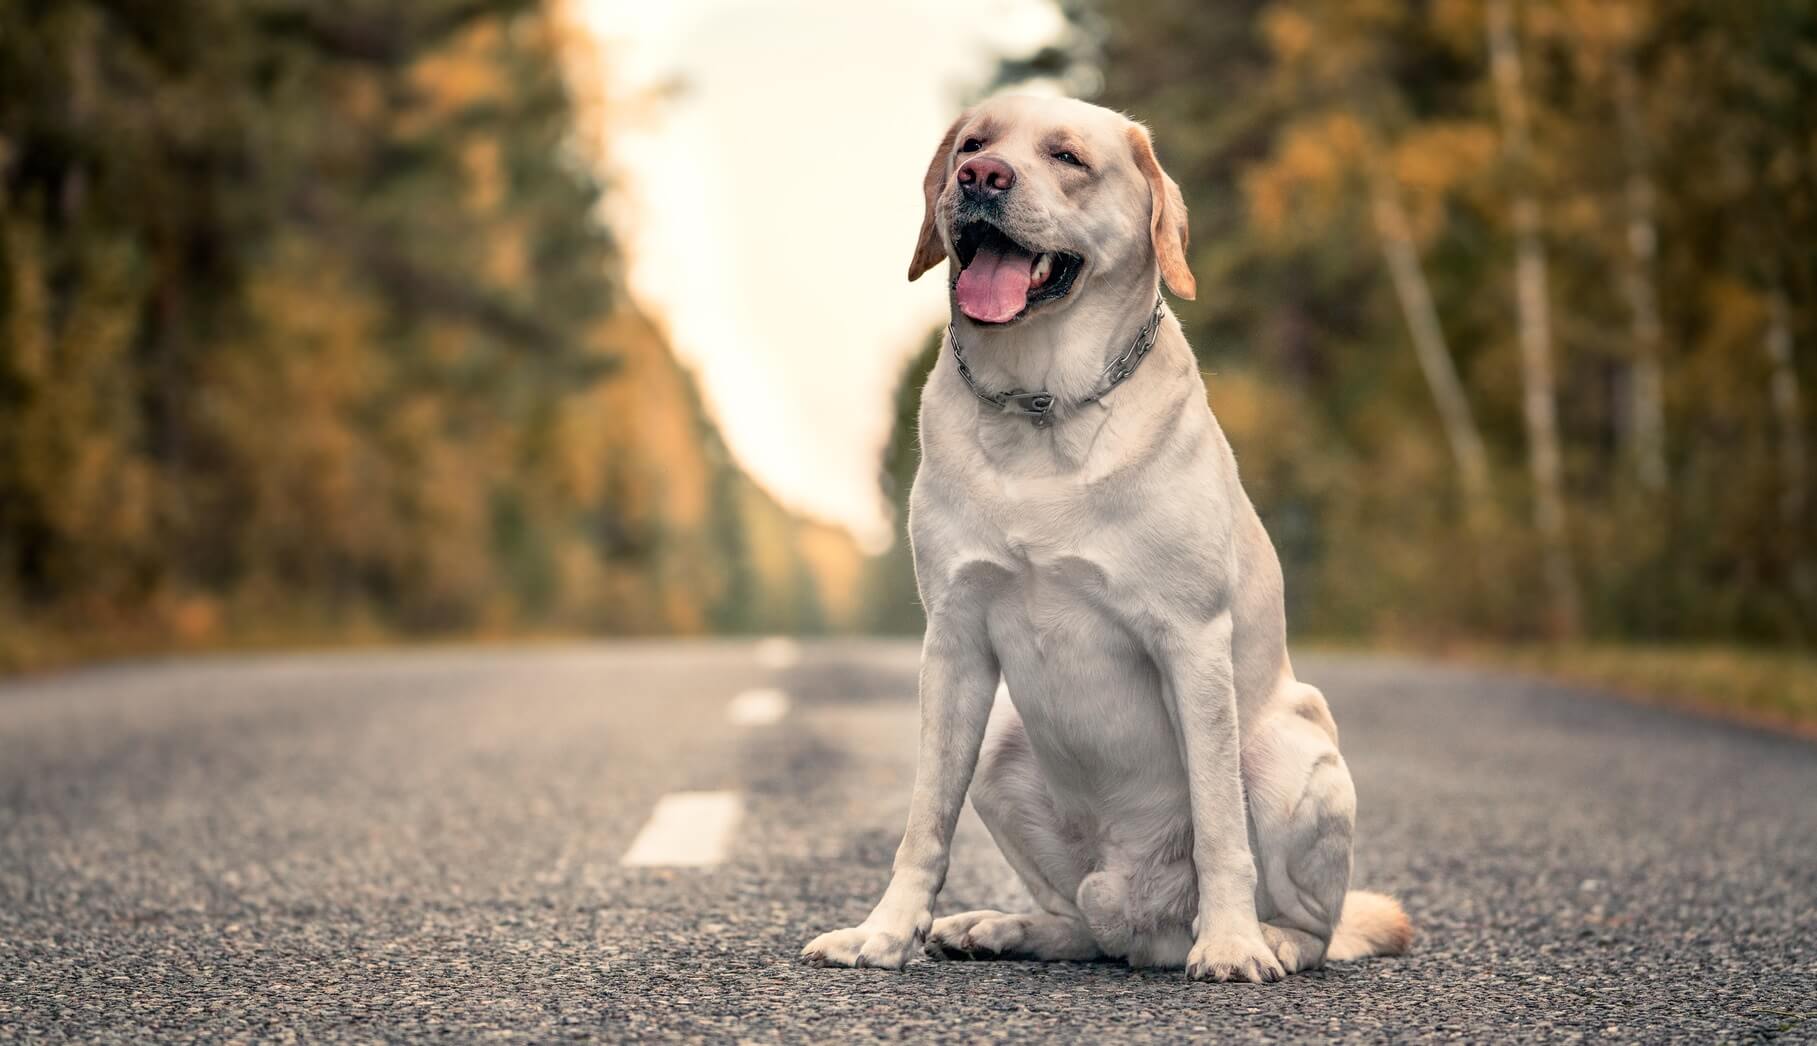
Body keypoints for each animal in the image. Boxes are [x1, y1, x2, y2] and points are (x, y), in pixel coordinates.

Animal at [803, 98, 1409, 980]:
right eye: (972, 144)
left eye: (1066, 158)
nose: (978, 177)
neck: (1040, 406)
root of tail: (1138, 910)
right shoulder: (952, 640)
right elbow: (924, 824)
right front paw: (882, 934)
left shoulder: (1191, 640)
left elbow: (1219, 824)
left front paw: (1230, 943)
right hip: (1003, 748)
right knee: (1085, 925)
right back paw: (1003, 926)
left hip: (1291, 752)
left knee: (1315, 926)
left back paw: (1264, 939)